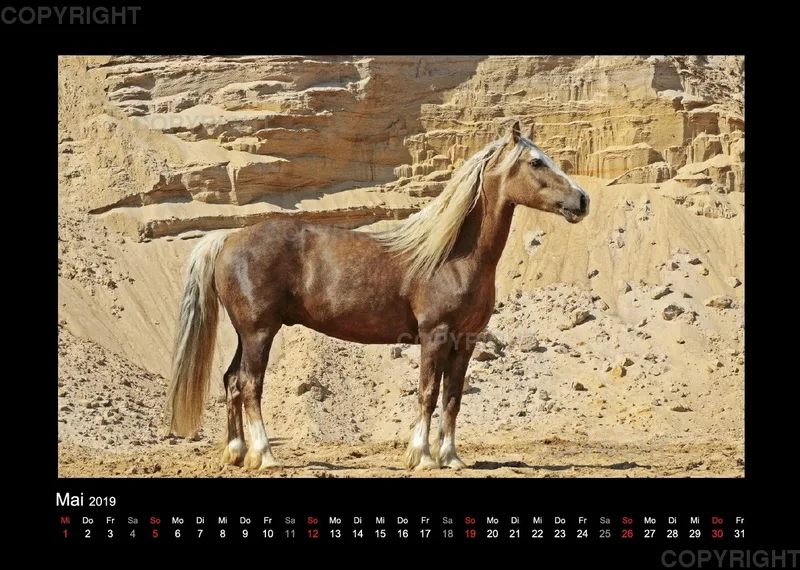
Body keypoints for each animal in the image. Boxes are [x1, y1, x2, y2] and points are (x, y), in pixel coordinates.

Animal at [164, 120, 590, 471]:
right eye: (536, 162)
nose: (583, 200)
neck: (454, 254)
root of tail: (228, 238)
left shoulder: (465, 341)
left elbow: (453, 397)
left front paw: (451, 457)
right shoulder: (435, 336)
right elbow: (428, 393)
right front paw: (422, 457)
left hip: (247, 333)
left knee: (232, 381)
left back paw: (237, 453)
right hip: (259, 333)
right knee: (250, 385)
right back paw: (265, 455)